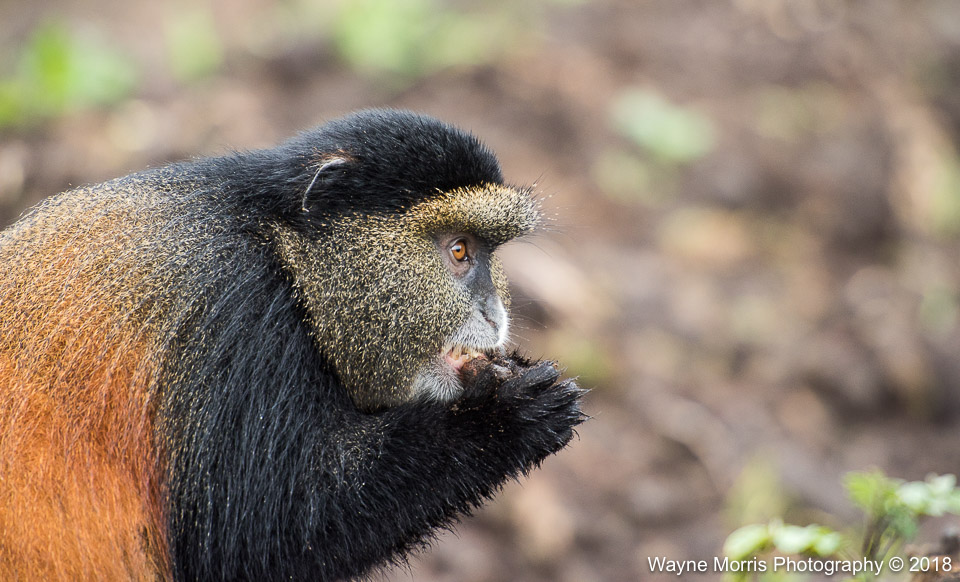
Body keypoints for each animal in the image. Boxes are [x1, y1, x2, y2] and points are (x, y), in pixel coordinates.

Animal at [0, 109, 585, 581]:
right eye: (460, 250)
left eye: (487, 253)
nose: (494, 313)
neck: (284, 251)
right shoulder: (241, 320)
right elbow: (255, 546)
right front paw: (506, 416)